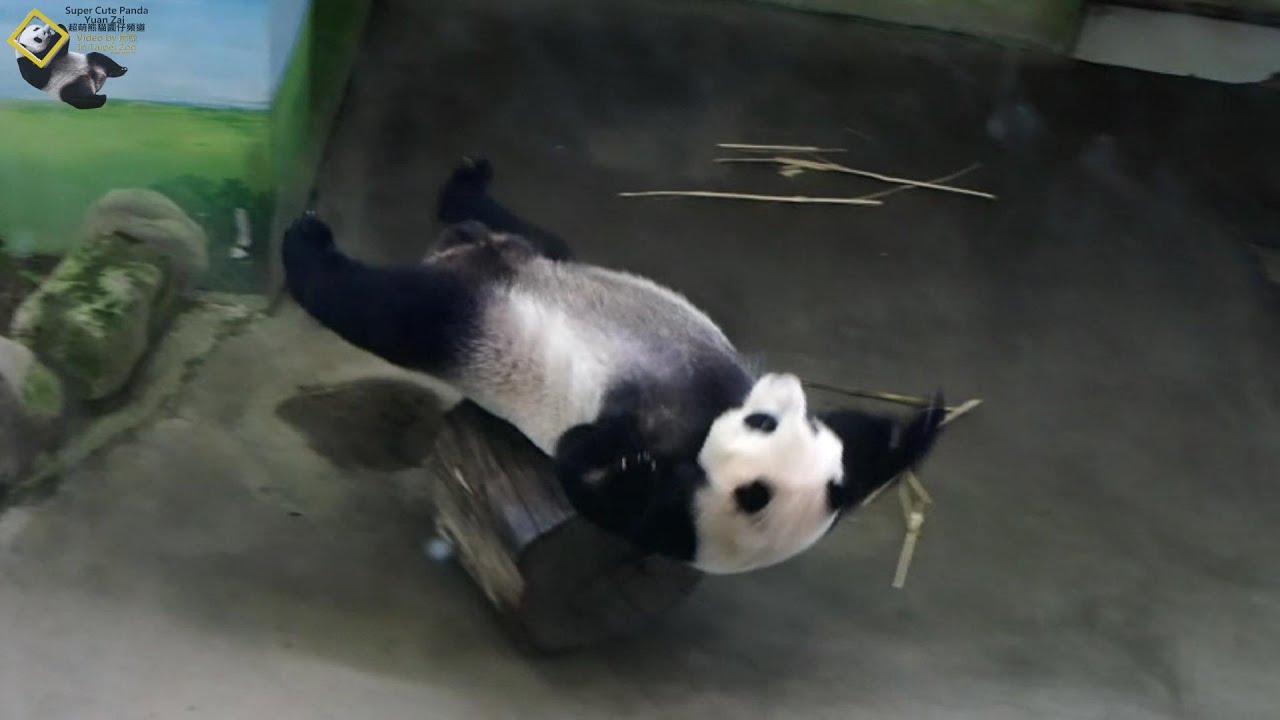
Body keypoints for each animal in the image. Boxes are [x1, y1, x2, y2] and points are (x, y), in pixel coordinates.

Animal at [281, 157, 948, 575]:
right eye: (775, 420)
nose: (780, 383)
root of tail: (459, 253)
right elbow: (865, 453)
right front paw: (920, 425)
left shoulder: (673, 499)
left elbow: (588, 474)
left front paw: (611, 461)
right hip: (538, 259)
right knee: (528, 234)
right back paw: (467, 183)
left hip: (461, 321)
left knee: (378, 307)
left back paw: (308, 240)